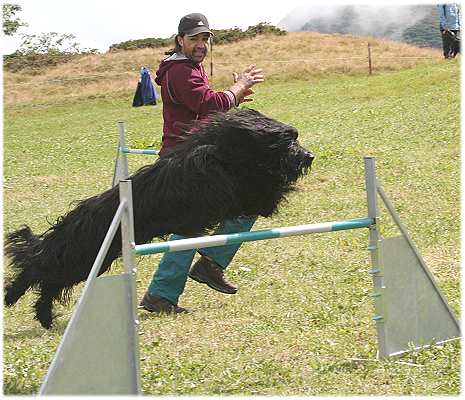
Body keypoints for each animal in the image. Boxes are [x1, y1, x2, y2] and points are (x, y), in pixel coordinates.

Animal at [3, 108, 314, 328]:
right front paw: (281, 185)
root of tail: (70, 225)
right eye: (288, 140)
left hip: (93, 259)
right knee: (37, 269)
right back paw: (12, 296)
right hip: (83, 258)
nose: (309, 156)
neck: (223, 151)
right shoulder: (228, 192)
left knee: (47, 282)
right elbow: (262, 194)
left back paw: (42, 317)